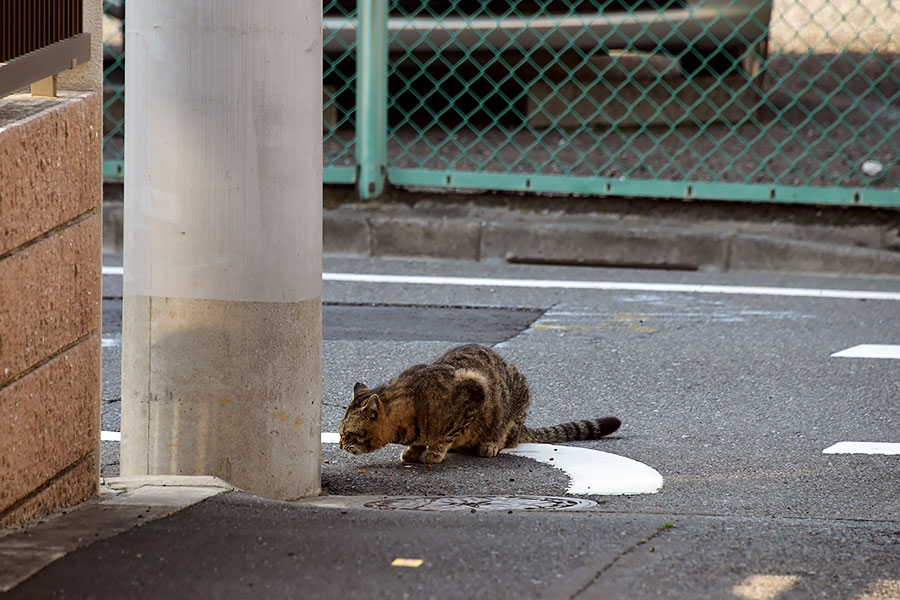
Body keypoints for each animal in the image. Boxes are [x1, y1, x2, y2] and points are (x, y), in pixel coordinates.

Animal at [342, 342, 624, 464]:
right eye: (340, 432)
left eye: (348, 433)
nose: (341, 444)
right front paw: (415, 449)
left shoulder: (475, 389)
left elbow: (448, 432)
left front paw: (434, 451)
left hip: (516, 391)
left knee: (505, 431)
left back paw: (490, 443)